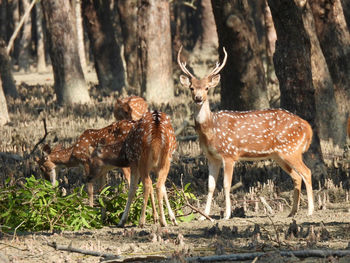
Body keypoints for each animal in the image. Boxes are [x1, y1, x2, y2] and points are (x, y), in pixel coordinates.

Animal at [178, 46, 314, 221]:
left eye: (207, 87)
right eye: (192, 87)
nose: (198, 98)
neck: (211, 131)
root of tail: (307, 127)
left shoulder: (229, 154)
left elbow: (226, 184)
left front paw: (227, 215)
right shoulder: (211, 157)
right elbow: (210, 186)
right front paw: (203, 216)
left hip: (291, 150)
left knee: (307, 172)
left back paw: (310, 211)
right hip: (279, 155)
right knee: (296, 177)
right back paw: (292, 212)